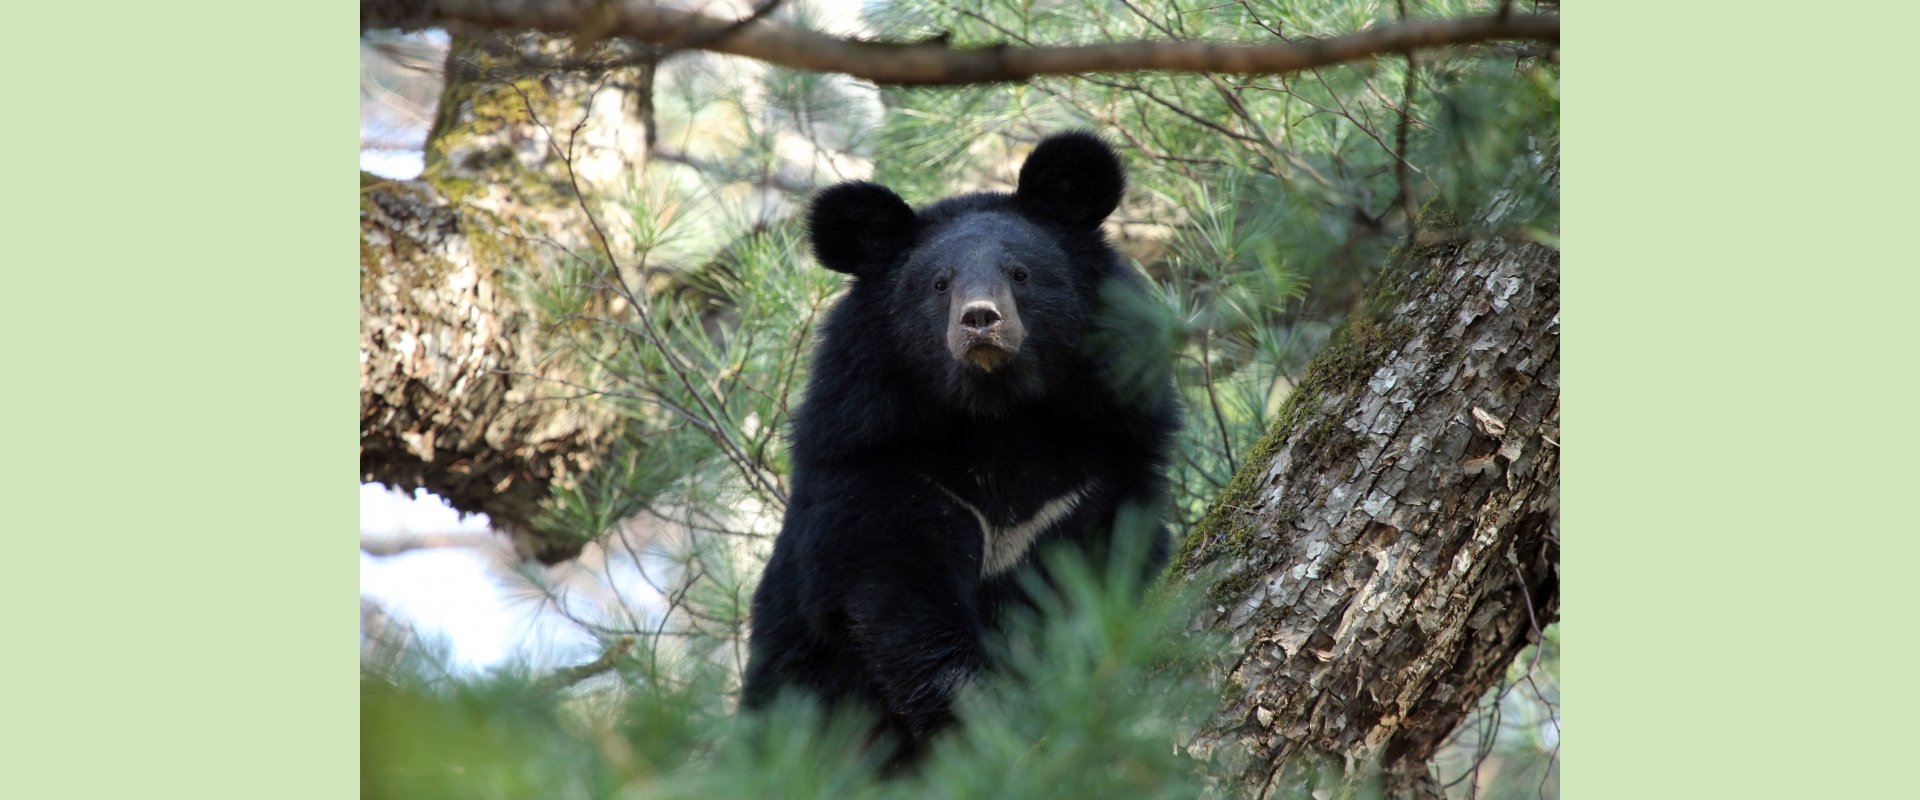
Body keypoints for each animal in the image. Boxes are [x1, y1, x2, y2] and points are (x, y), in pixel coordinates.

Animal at [737, 132, 1175, 759]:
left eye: (1020, 273)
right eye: (939, 283)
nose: (980, 321)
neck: (997, 419)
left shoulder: (1103, 467)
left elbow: (1103, 569)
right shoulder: (874, 461)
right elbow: (897, 597)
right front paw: (985, 708)